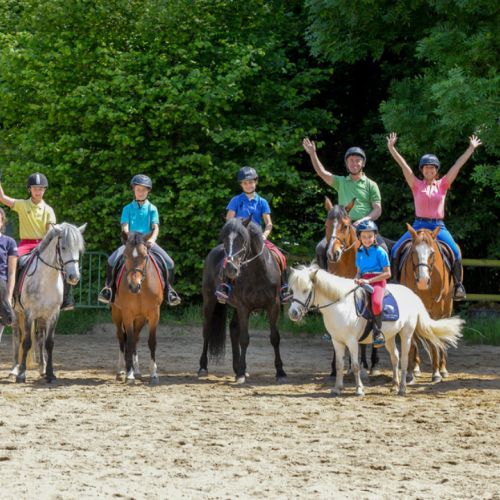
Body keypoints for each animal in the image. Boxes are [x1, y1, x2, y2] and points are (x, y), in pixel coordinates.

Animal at [11, 223, 86, 382]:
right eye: (63, 247)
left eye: (79, 249)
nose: (74, 277)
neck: (46, 279)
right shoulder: (29, 314)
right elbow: (26, 342)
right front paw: (21, 374)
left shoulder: (53, 315)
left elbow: (49, 343)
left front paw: (51, 374)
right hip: (16, 311)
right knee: (17, 336)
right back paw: (14, 368)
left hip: (41, 317)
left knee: (39, 337)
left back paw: (43, 368)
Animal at [111, 229, 162, 384]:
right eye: (125, 255)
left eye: (145, 256)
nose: (134, 286)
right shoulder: (127, 313)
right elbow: (128, 341)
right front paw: (129, 375)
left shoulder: (154, 314)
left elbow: (151, 342)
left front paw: (153, 374)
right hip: (117, 314)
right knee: (122, 338)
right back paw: (121, 370)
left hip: (140, 318)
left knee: (135, 339)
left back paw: (137, 370)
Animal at [198, 217, 286, 384]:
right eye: (225, 239)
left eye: (243, 240)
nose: (231, 269)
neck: (258, 273)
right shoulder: (244, 307)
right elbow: (244, 339)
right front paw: (240, 374)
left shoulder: (273, 306)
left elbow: (275, 337)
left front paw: (280, 372)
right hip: (209, 301)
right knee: (207, 330)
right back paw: (203, 367)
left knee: (233, 330)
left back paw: (236, 367)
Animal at [288, 266, 462, 398]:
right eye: (292, 290)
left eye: (306, 290)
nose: (293, 313)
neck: (340, 305)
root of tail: (413, 294)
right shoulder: (337, 341)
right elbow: (339, 365)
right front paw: (337, 388)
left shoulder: (352, 341)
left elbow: (356, 366)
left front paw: (359, 390)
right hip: (390, 337)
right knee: (395, 357)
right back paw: (394, 385)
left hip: (406, 334)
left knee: (405, 359)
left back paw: (402, 388)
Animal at [400, 224, 456, 382]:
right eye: (413, 252)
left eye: (432, 253)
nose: (423, 281)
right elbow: (412, 340)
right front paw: (410, 372)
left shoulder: (436, 310)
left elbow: (434, 340)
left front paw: (436, 372)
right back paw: (416, 369)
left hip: (447, 308)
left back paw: (442, 369)